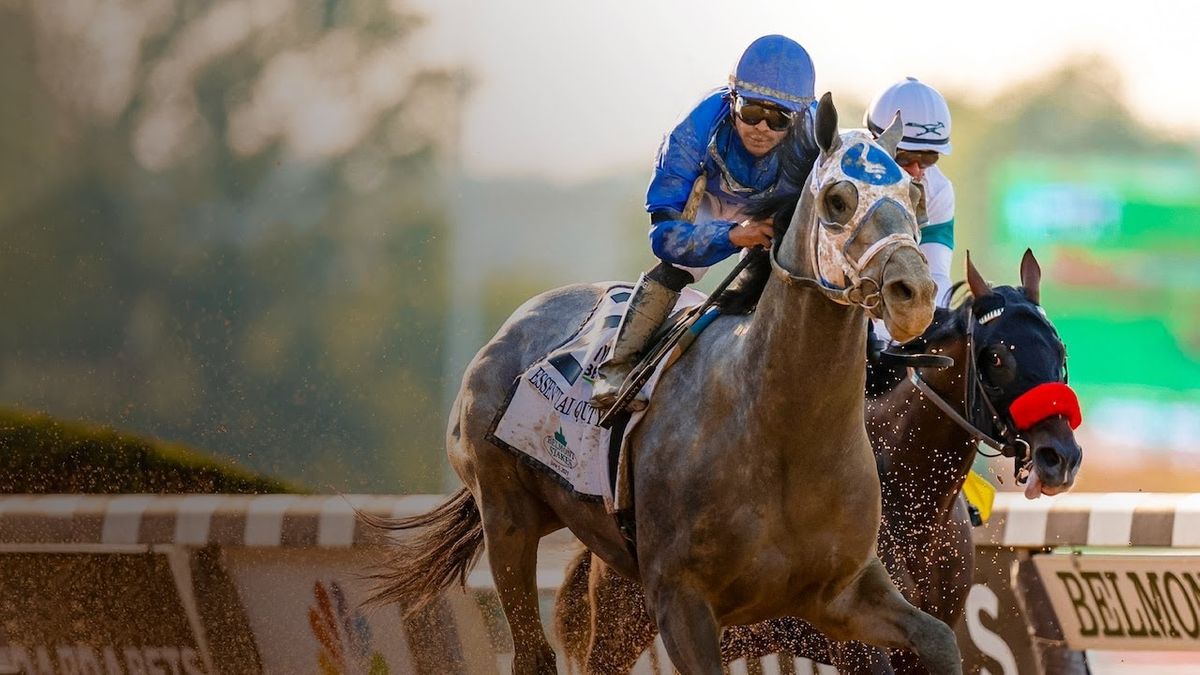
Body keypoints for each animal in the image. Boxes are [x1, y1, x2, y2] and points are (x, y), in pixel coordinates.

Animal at [363, 93, 962, 675]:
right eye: (838, 199)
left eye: (915, 195)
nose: (913, 293)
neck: (779, 432)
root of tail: (515, 323)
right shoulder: (682, 602)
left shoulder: (840, 594)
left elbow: (940, 641)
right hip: (508, 518)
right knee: (534, 652)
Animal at [554, 250, 1085, 673]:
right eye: (996, 357)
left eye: (1060, 348)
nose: (1061, 457)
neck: (911, 502)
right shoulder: (858, 644)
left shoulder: (920, 633)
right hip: (631, 620)